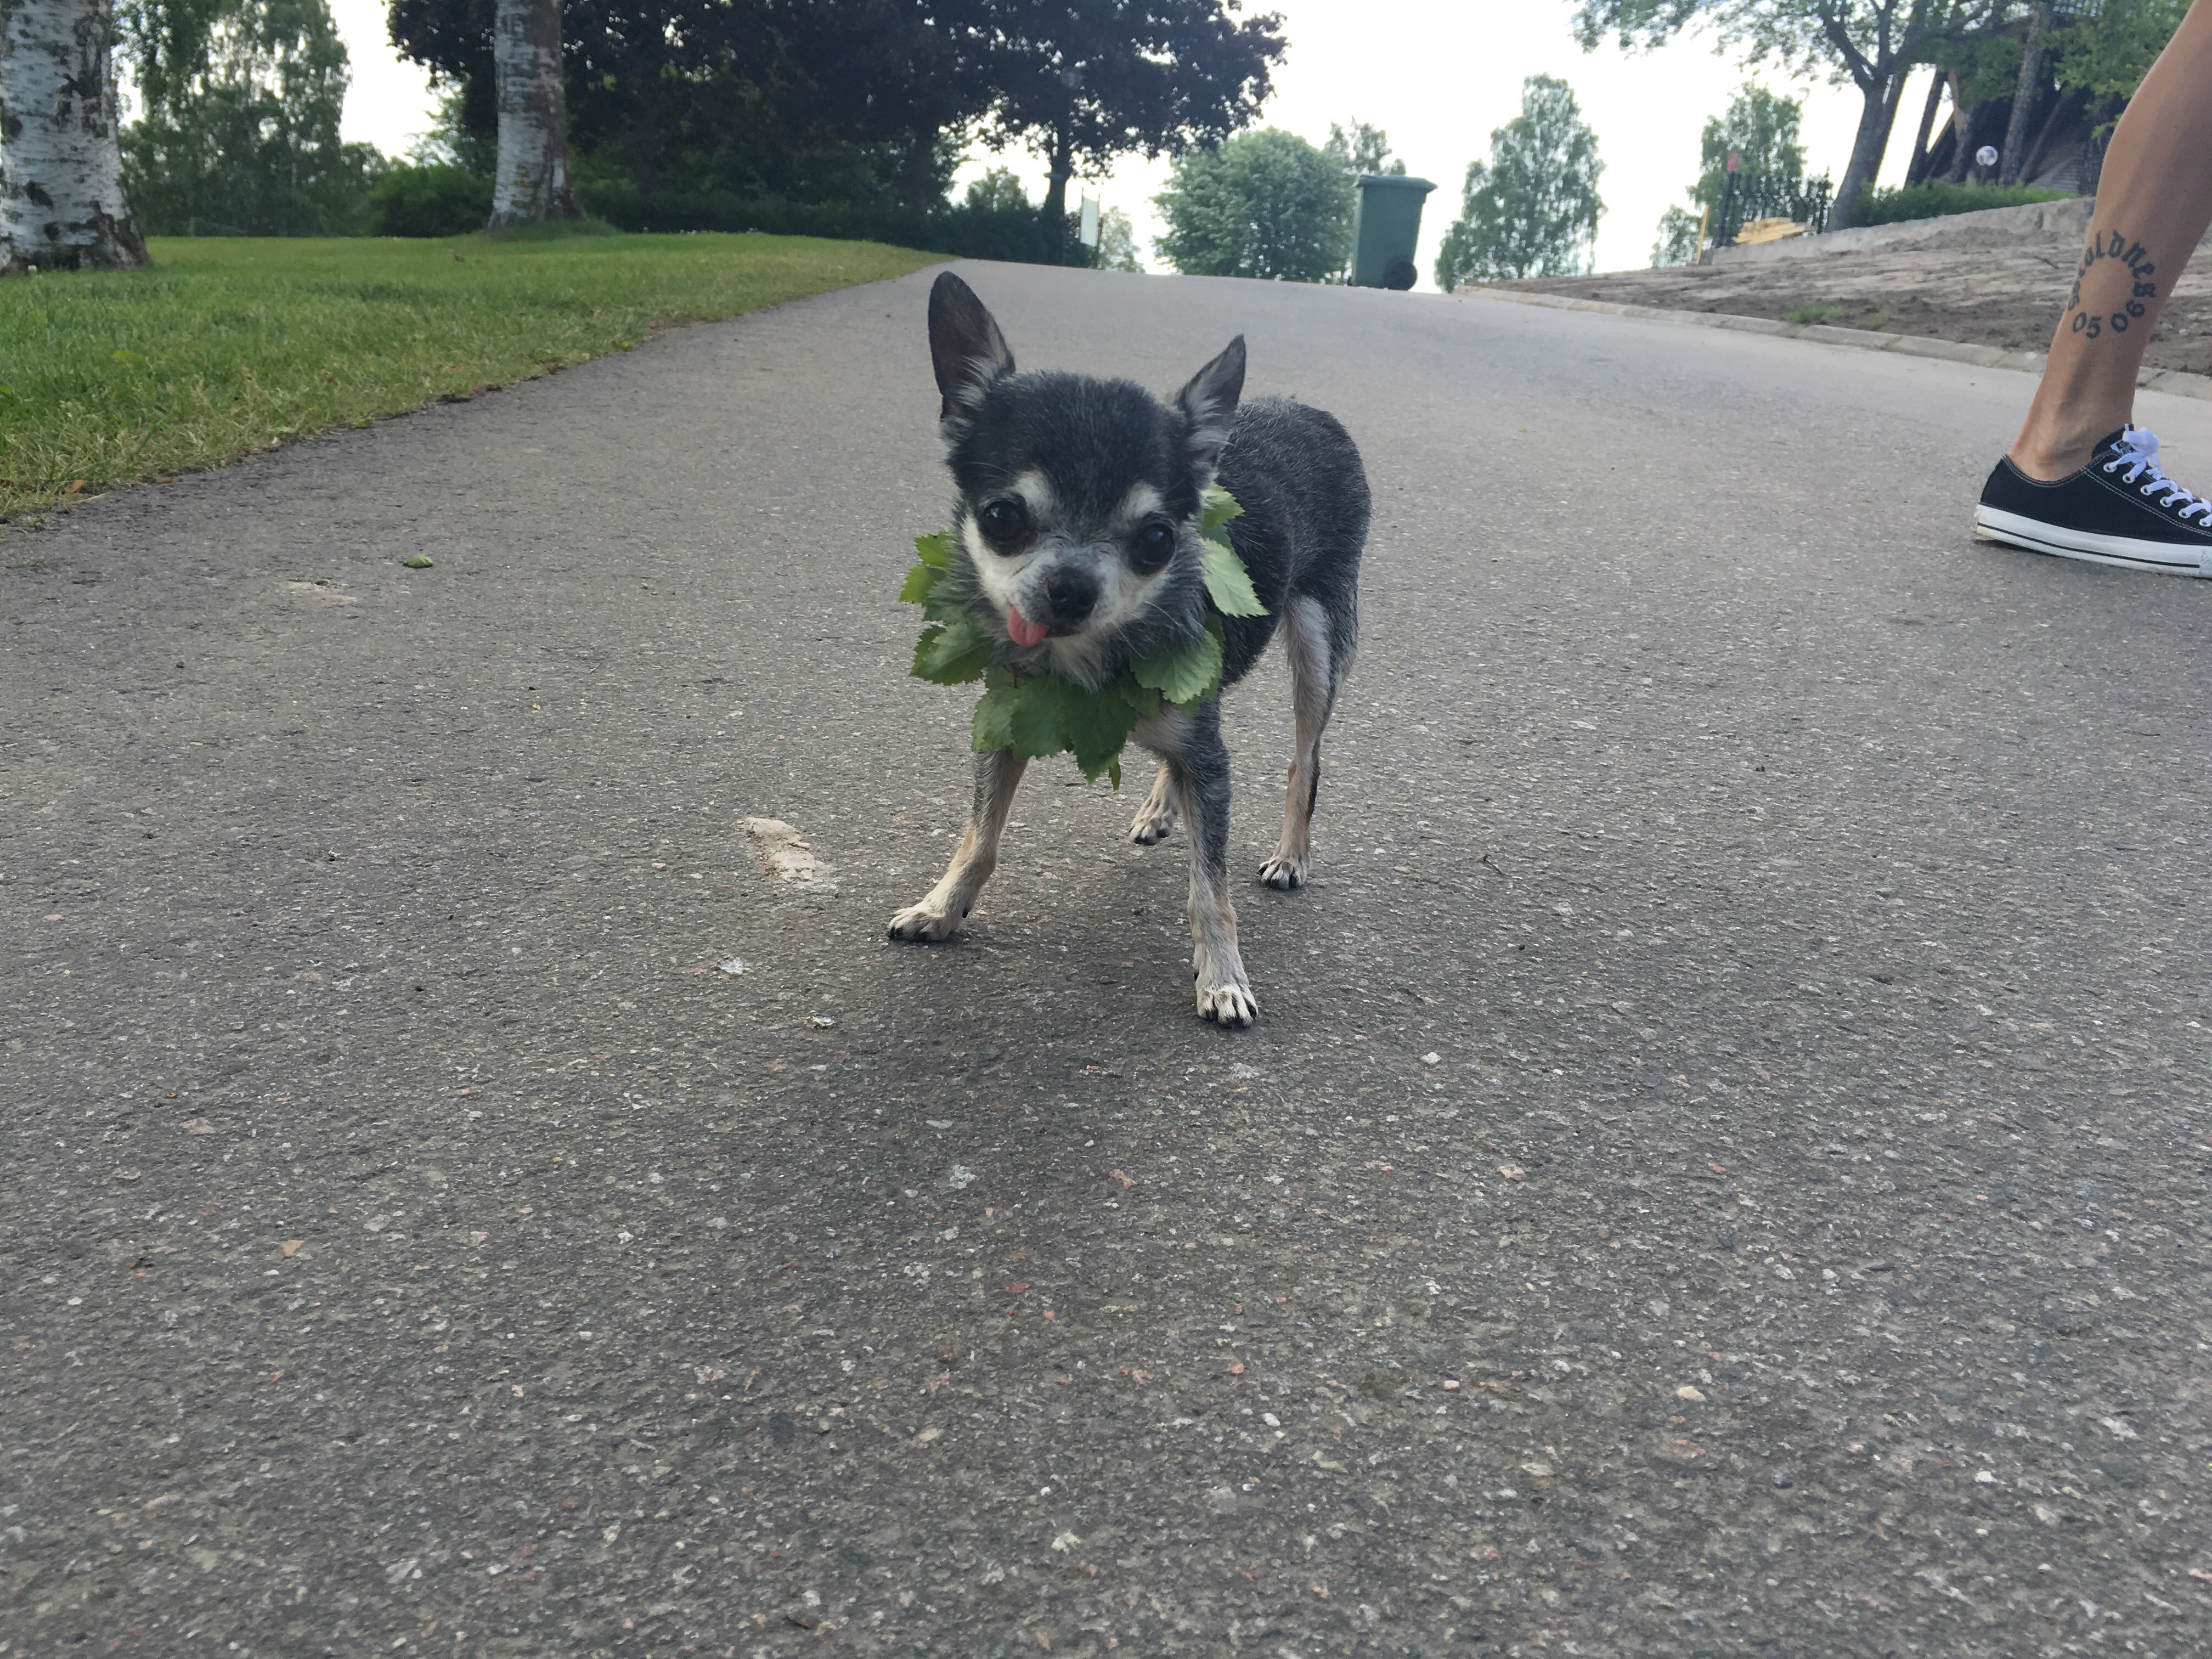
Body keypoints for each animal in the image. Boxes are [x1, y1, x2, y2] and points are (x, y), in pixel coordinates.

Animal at [887, 272, 1369, 1025]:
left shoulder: (1213, 757)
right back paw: (1160, 806)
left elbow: (1210, 887)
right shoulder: (1007, 723)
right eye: (1002, 518)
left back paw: (1291, 854)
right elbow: (981, 836)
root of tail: (1308, 409)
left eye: (1156, 541)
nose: (1071, 588)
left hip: (1321, 648)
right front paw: (943, 906)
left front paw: (1222, 975)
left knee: (1306, 760)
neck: (1086, 664)